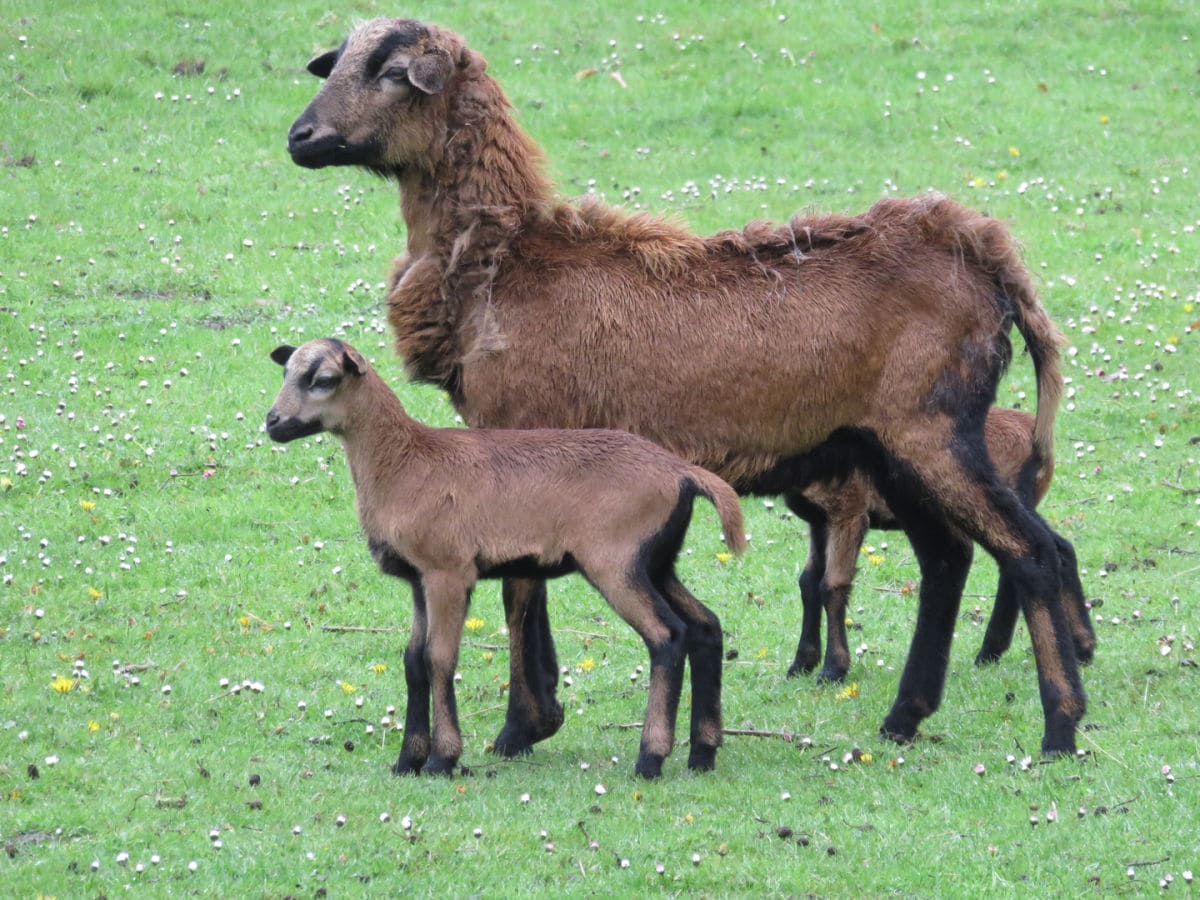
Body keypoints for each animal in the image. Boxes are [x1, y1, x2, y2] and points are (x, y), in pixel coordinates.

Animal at [267, 340, 744, 782]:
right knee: (705, 627)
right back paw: (702, 754)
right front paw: (407, 761)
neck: (405, 463)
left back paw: (650, 759)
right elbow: (413, 662)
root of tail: (682, 472)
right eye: (286, 371)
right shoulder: (419, 580)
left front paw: (442, 760)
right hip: (657, 562)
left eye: (323, 379)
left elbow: (439, 659)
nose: (272, 423)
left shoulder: (448, 572)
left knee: (667, 636)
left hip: (617, 562)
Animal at [787, 408, 1099, 681]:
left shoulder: (848, 511)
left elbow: (832, 585)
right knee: (1055, 551)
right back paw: (1076, 649)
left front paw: (832, 670)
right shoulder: (818, 521)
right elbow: (808, 582)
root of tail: (1032, 430)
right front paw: (801, 664)